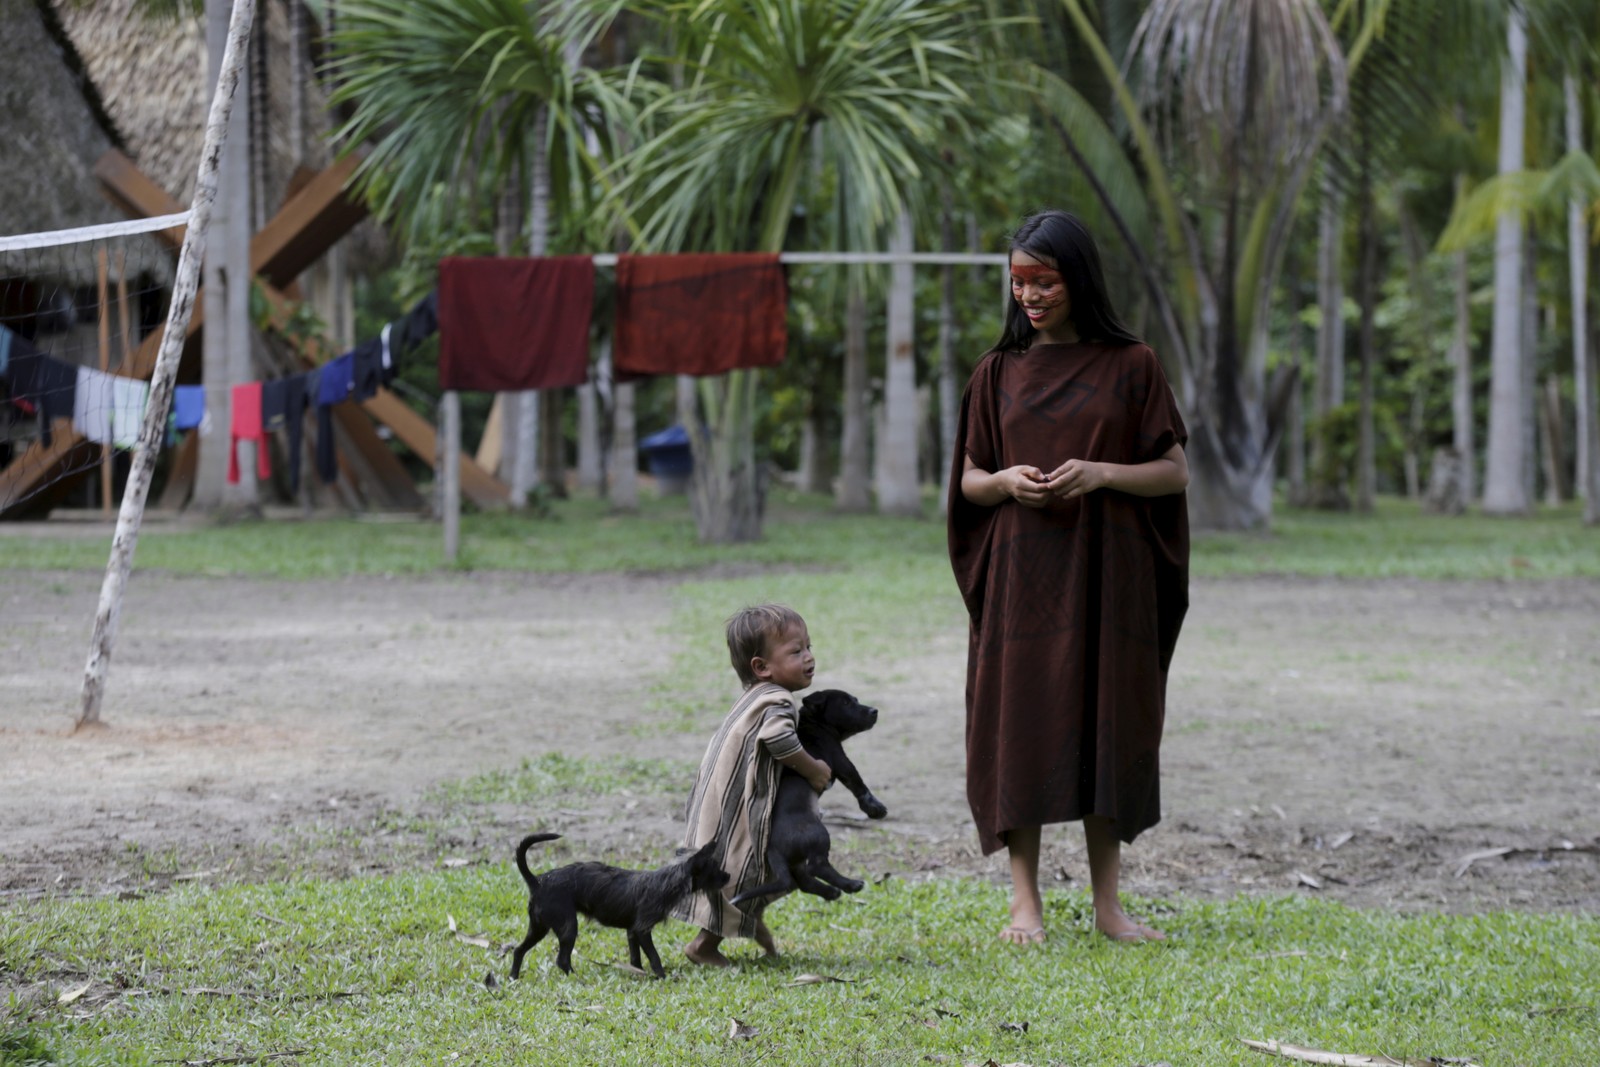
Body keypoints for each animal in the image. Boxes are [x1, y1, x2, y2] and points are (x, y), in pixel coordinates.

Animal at [508, 831, 729, 979]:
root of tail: (537, 881)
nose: (729, 876)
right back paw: (576, 978)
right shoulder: (642, 930)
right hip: (567, 927)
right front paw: (662, 977)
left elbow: (635, 958)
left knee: (518, 950)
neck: (667, 881)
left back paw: (513, 977)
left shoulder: (632, 932)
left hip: (539, 927)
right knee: (561, 959)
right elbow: (654, 957)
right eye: (715, 869)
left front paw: (639, 974)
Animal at [732, 694, 889, 908]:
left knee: (801, 880)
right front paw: (875, 808)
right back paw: (851, 884)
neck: (815, 724)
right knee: (816, 866)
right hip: (817, 834)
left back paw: (832, 891)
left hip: (795, 858)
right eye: (846, 702)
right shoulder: (841, 761)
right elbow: (857, 784)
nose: (874, 711)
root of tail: (772, 849)